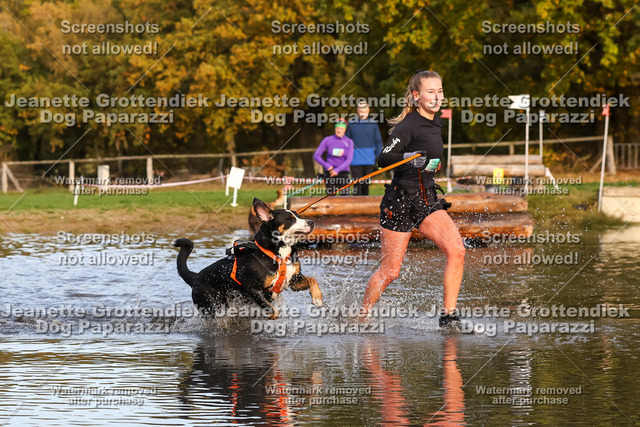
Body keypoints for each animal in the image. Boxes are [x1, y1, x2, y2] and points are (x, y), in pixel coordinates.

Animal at [173, 198, 323, 319]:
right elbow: (271, 309)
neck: (279, 253)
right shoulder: (252, 288)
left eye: (299, 216)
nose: (311, 222)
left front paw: (317, 297)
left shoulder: (293, 281)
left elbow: (312, 280)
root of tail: (195, 276)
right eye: (291, 219)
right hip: (212, 307)